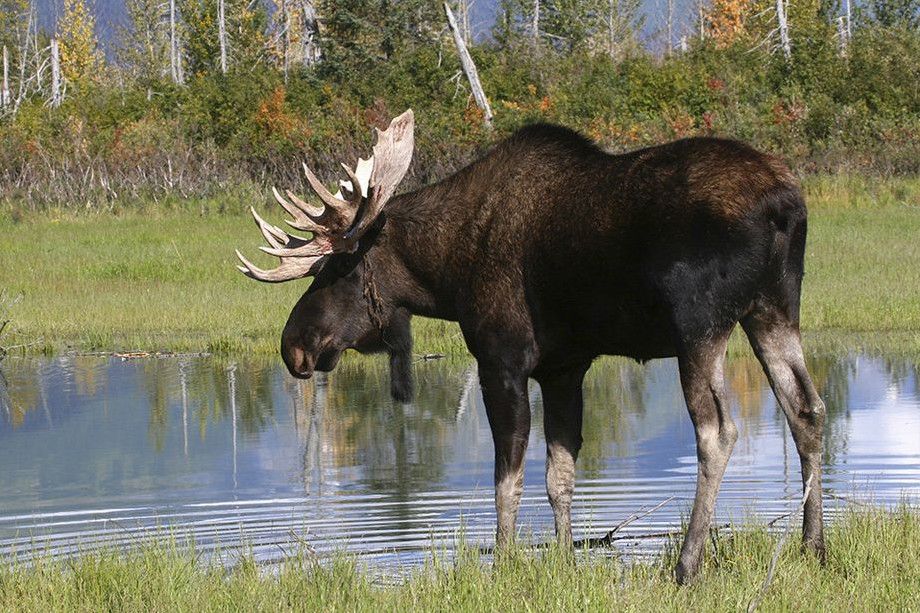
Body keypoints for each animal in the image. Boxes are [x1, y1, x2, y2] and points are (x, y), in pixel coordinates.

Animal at [237, 110, 828, 584]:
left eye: (335, 269)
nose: (294, 346)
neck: (447, 274)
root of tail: (785, 205)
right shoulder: (564, 368)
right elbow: (559, 476)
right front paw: (565, 559)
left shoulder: (501, 360)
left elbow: (507, 479)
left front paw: (502, 563)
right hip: (774, 310)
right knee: (807, 410)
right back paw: (813, 548)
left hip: (701, 326)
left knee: (719, 431)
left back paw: (687, 565)